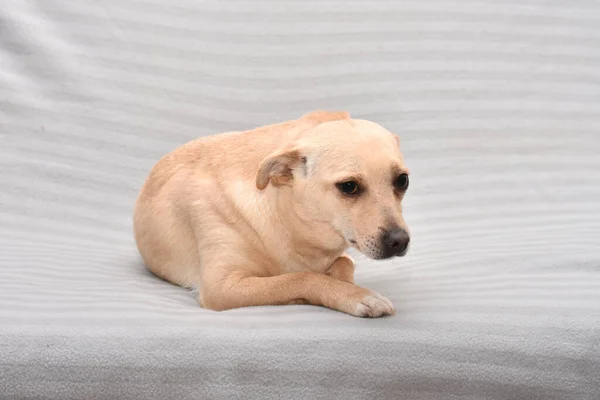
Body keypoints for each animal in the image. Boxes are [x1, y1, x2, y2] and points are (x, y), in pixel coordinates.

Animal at [134, 111, 410, 318]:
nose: (400, 241)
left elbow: (342, 264)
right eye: (349, 186)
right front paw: (355, 294)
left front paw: (348, 284)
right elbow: (300, 278)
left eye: (402, 181)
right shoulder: (221, 287)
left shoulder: (341, 256)